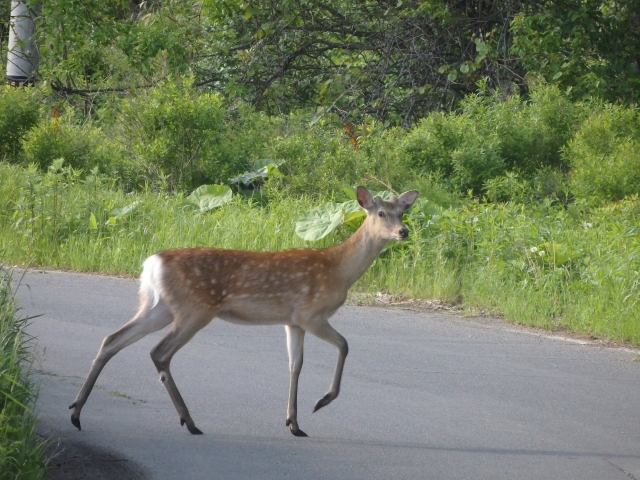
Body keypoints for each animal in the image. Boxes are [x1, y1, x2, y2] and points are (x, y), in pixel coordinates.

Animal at [69, 186, 420, 436]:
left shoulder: (292, 321)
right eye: (380, 213)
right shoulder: (311, 313)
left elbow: (295, 365)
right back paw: (189, 421)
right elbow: (345, 345)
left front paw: (293, 423)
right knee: (159, 352)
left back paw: (76, 412)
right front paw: (322, 401)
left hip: (159, 306)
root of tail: (152, 263)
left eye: (403, 211)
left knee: (112, 339)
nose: (403, 232)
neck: (339, 269)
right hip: (195, 308)